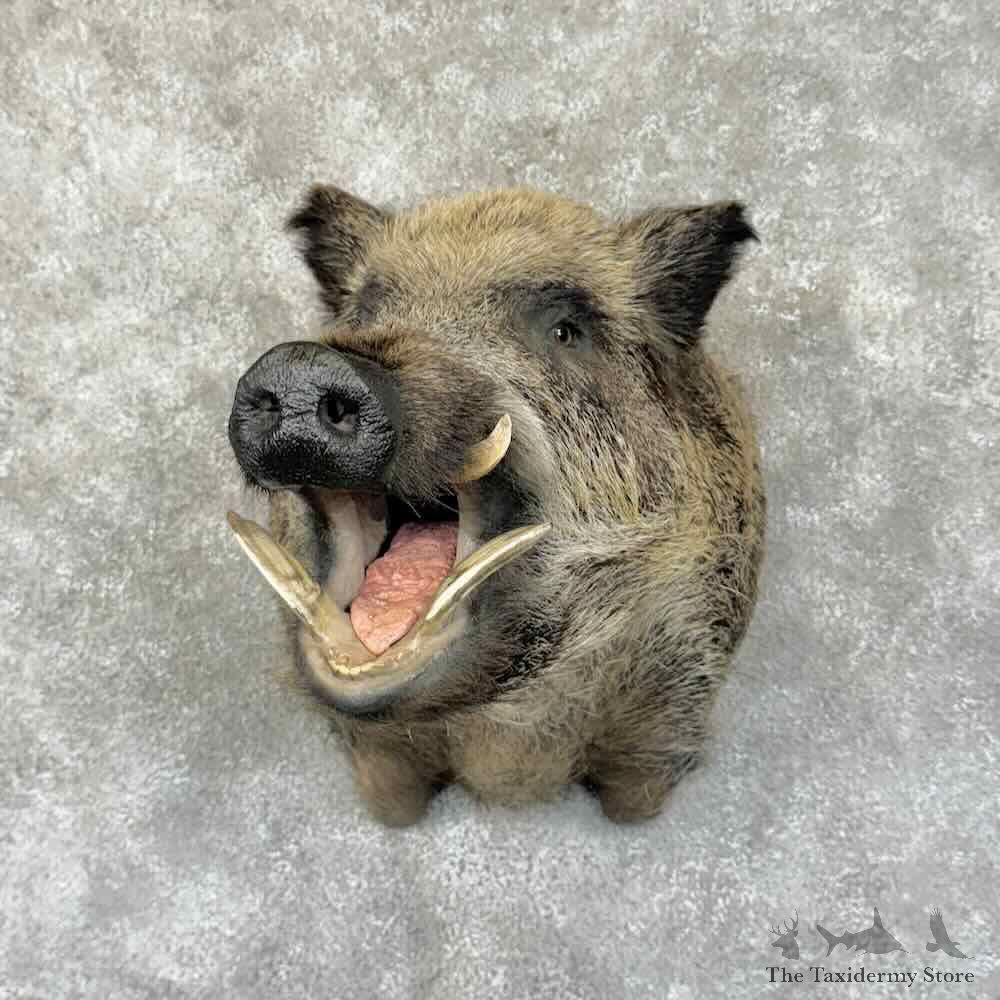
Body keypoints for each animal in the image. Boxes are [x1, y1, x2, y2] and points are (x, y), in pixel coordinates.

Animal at [227, 185, 765, 827]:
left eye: (564, 332)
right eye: (365, 311)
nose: (305, 368)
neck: (504, 754)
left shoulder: (676, 706)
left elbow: (634, 798)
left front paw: (628, 820)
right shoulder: (374, 751)